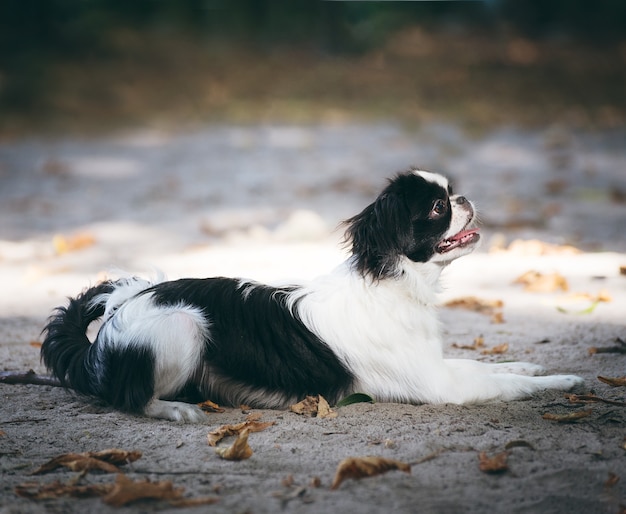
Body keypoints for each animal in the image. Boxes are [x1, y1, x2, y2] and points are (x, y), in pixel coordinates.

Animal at [41, 169, 584, 420]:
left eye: (451, 193)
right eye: (437, 207)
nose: (464, 198)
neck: (393, 282)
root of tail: (114, 318)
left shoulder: (437, 366)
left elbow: (492, 366)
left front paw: (533, 365)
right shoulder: (439, 386)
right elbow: (505, 383)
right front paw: (565, 381)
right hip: (184, 323)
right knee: (130, 397)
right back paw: (174, 409)